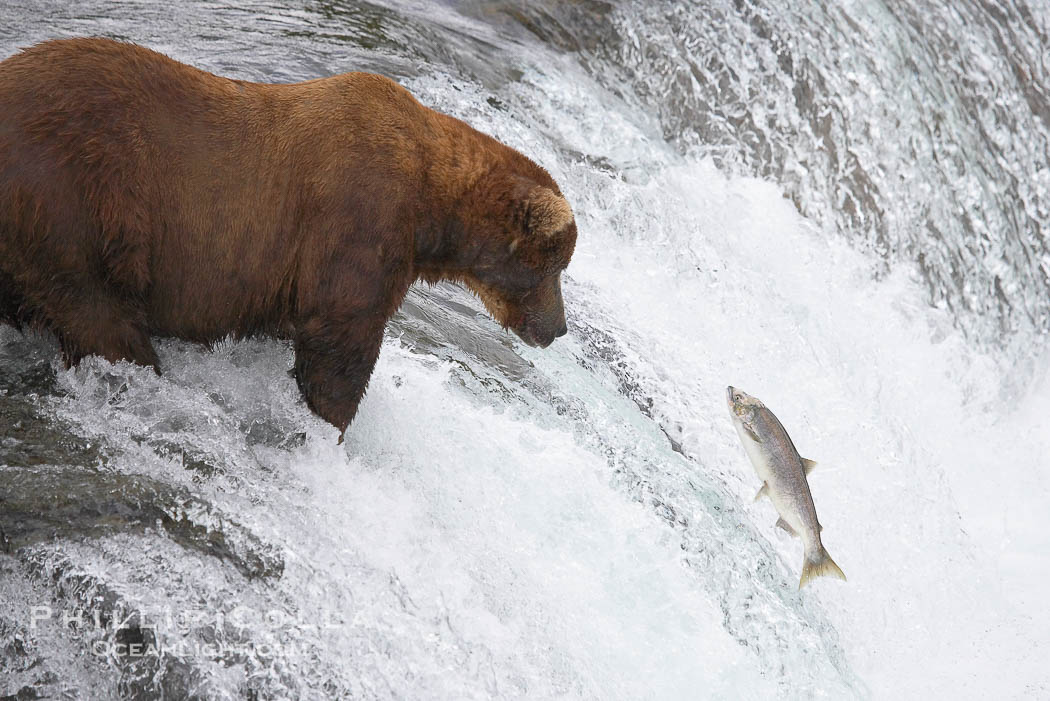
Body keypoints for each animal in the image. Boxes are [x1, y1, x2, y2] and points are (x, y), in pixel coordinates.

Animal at [0, 38, 576, 437]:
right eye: (556, 268)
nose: (559, 328)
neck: (431, 204)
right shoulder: (360, 215)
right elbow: (341, 337)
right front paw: (329, 425)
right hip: (77, 204)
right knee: (102, 318)